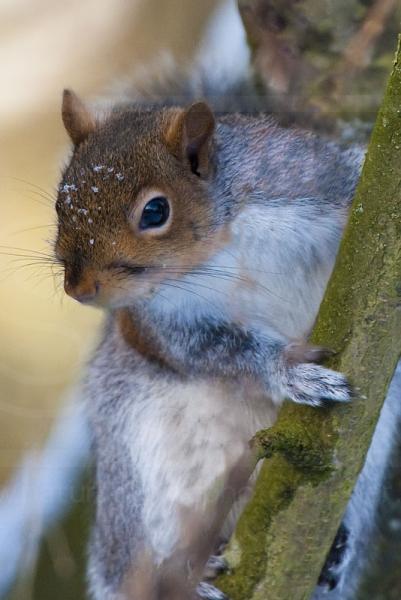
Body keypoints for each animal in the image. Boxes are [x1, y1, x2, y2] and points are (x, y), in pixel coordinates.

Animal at [53, 83, 362, 600]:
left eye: (155, 211)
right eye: (60, 204)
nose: (78, 289)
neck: (218, 249)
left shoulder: (309, 179)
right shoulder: (161, 323)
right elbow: (214, 353)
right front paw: (292, 372)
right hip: (138, 484)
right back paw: (189, 578)